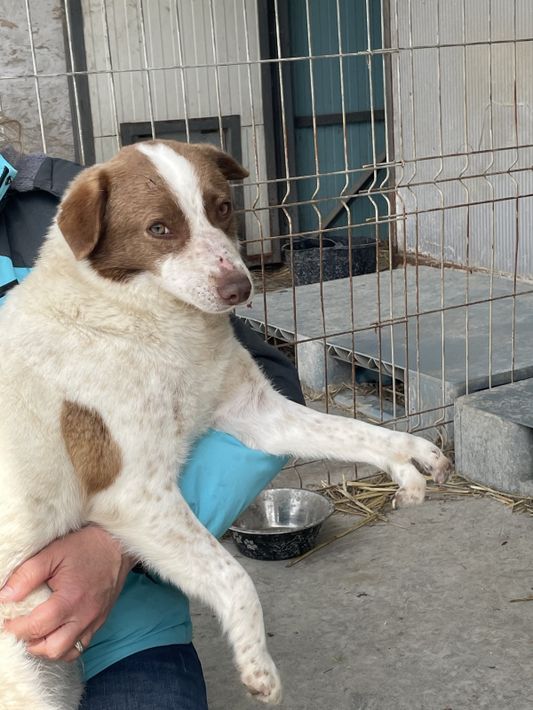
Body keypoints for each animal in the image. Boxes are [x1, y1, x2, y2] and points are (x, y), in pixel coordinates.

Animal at [0, 140, 450, 708]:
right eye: (159, 228)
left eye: (221, 207)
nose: (240, 288)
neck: (150, 318)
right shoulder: (135, 495)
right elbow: (234, 577)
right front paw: (257, 665)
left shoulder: (258, 411)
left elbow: (356, 433)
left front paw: (408, 456)